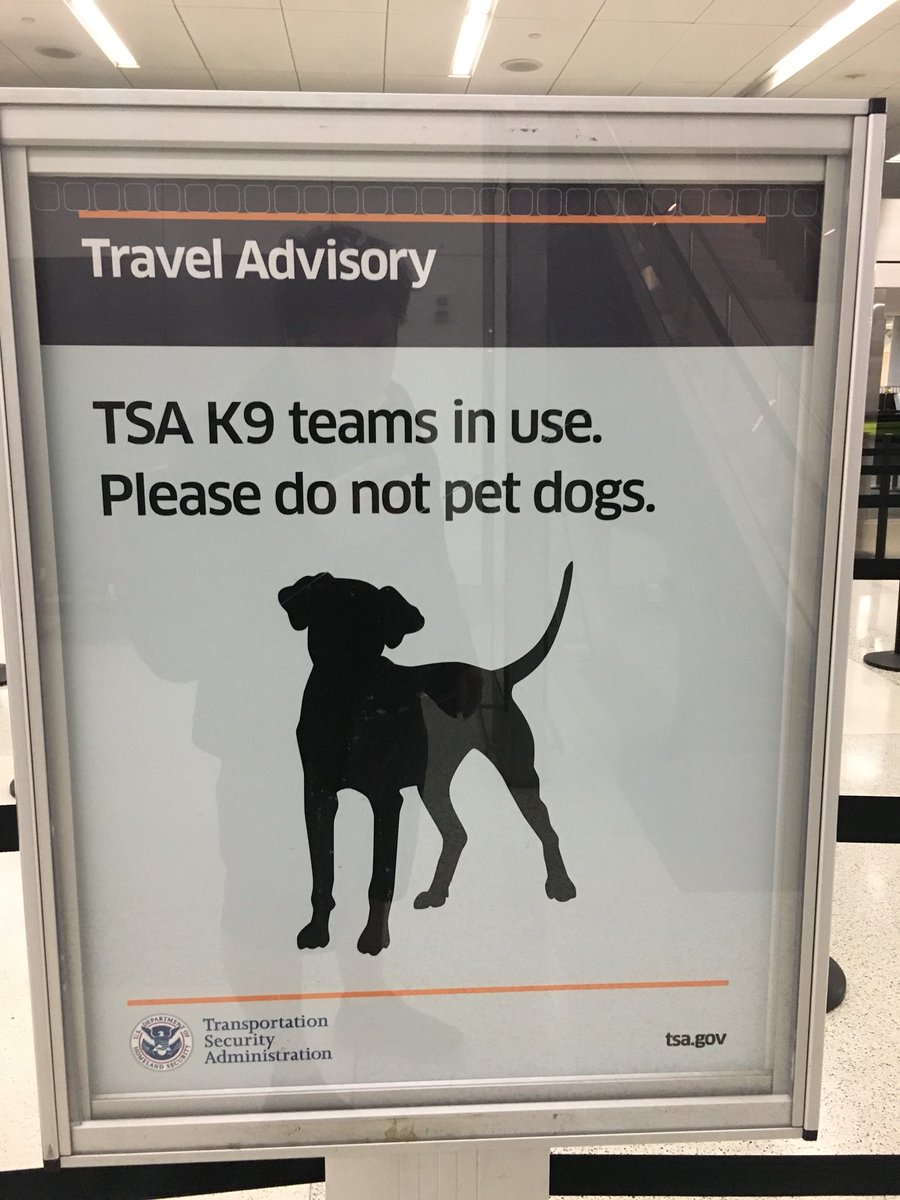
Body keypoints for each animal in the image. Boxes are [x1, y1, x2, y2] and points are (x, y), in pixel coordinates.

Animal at [278, 564, 576, 955]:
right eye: (328, 615)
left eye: (374, 624)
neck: (347, 703)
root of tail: (494, 675)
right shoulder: (318, 797)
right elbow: (322, 877)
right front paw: (316, 932)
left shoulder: (386, 801)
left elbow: (380, 880)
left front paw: (373, 939)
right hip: (432, 783)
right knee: (457, 834)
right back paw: (436, 894)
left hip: (518, 773)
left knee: (547, 829)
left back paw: (561, 885)